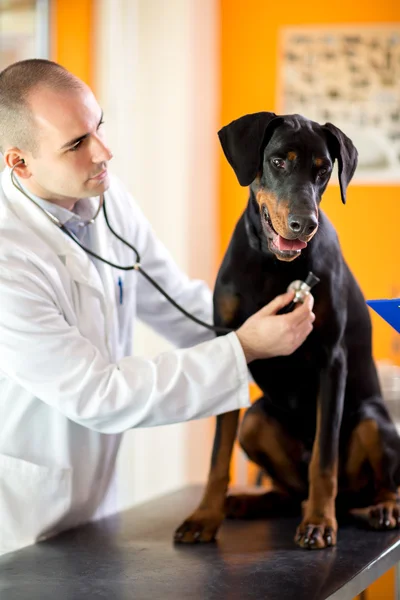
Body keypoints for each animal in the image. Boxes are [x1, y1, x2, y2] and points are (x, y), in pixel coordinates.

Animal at [176, 111, 400, 548]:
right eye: (278, 162)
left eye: (324, 170)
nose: (303, 224)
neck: (272, 264)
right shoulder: (227, 345)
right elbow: (218, 456)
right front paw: (205, 516)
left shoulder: (332, 360)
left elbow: (324, 460)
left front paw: (319, 523)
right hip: (256, 420)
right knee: (286, 487)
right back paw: (249, 501)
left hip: (372, 420)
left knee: (377, 482)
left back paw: (381, 508)